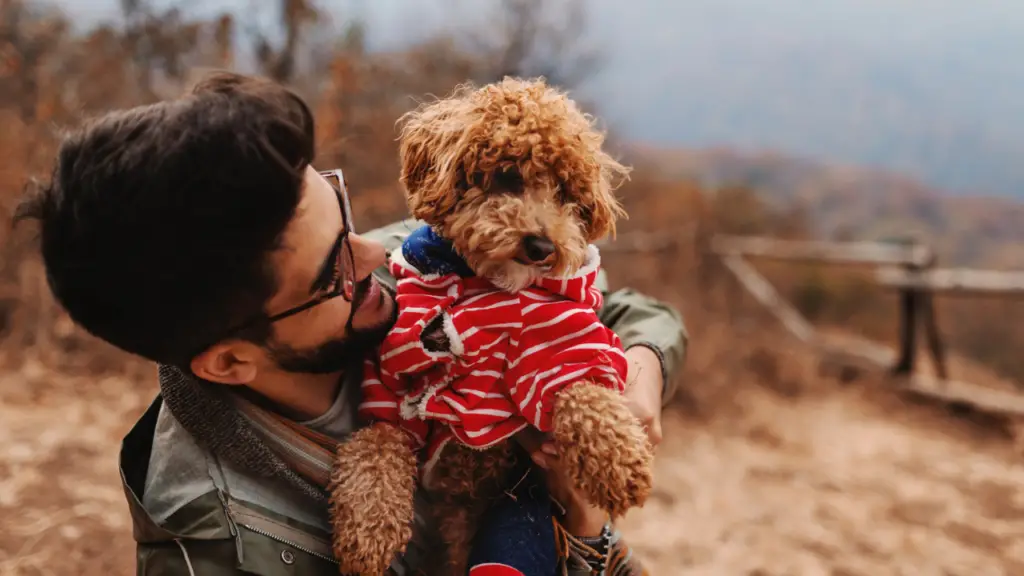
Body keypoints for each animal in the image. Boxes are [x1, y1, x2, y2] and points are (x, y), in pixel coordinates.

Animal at [327, 77, 655, 573]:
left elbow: (585, 393)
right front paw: (367, 529)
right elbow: (377, 445)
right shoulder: (392, 377)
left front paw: (620, 463)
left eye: (565, 193)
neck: (486, 284)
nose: (542, 246)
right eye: (507, 175)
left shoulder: (559, 340)